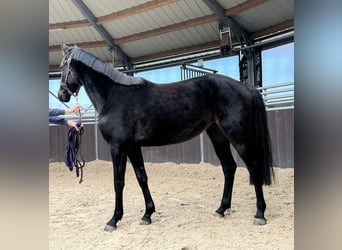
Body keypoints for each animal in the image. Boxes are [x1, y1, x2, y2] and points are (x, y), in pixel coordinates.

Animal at [57, 43, 274, 232]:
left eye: (62, 66)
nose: (61, 95)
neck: (114, 95)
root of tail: (247, 88)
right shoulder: (132, 147)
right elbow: (142, 178)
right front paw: (147, 215)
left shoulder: (118, 147)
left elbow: (118, 182)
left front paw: (114, 220)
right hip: (218, 135)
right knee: (229, 168)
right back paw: (221, 209)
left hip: (239, 137)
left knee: (254, 167)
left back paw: (260, 214)